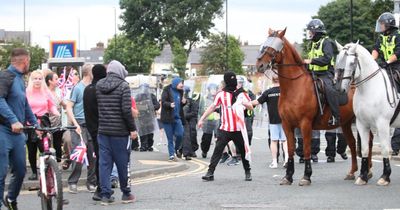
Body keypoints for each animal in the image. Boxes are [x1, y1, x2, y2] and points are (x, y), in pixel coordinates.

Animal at [258, 27, 370, 185]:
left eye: (274, 47)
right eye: (265, 43)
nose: (259, 65)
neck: (294, 87)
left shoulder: (305, 124)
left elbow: (306, 150)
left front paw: (306, 176)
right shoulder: (287, 124)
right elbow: (290, 150)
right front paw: (288, 176)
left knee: (368, 143)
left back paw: (367, 172)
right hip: (346, 123)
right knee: (353, 144)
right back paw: (352, 172)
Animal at [334, 41, 400, 185]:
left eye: (352, 62)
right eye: (337, 60)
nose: (339, 89)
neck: (370, 88)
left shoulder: (382, 124)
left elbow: (385, 149)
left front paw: (385, 176)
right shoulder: (362, 124)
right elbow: (364, 149)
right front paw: (362, 176)